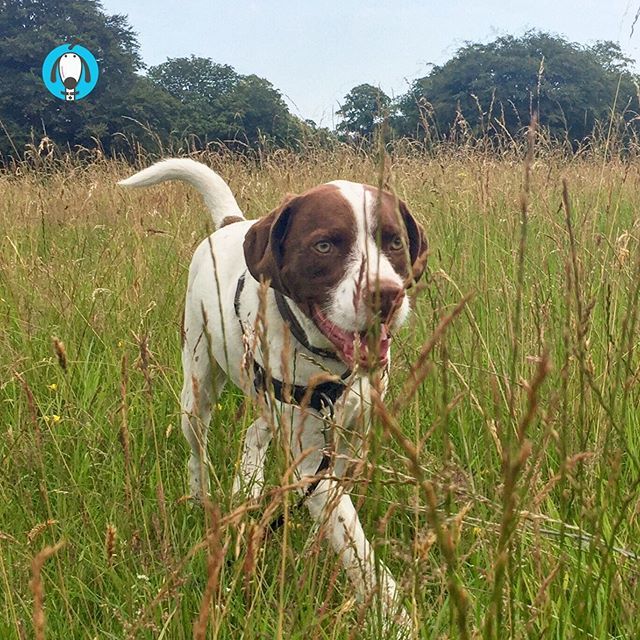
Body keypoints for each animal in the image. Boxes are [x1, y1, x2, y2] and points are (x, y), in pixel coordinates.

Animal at [120, 160, 430, 636]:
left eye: (393, 241)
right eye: (324, 245)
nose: (387, 296)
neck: (328, 366)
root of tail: (232, 223)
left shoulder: (353, 439)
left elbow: (338, 515)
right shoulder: (310, 460)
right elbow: (357, 546)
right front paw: (395, 618)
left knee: (254, 430)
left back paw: (247, 484)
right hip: (197, 388)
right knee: (198, 448)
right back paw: (203, 498)